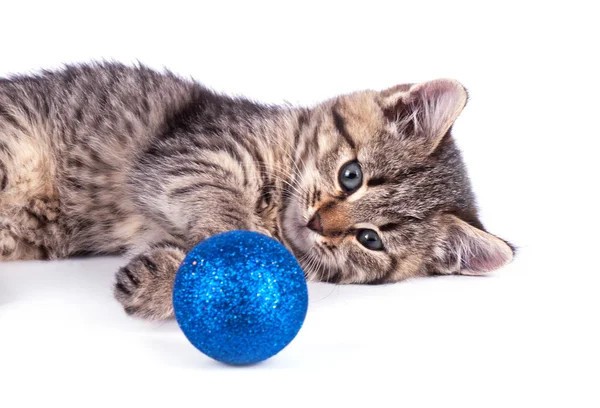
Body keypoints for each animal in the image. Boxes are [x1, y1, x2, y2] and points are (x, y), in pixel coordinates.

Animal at [0, 63, 512, 318]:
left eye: (370, 239)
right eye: (350, 175)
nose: (318, 222)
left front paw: (159, 282)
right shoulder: (189, 155)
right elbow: (230, 222)